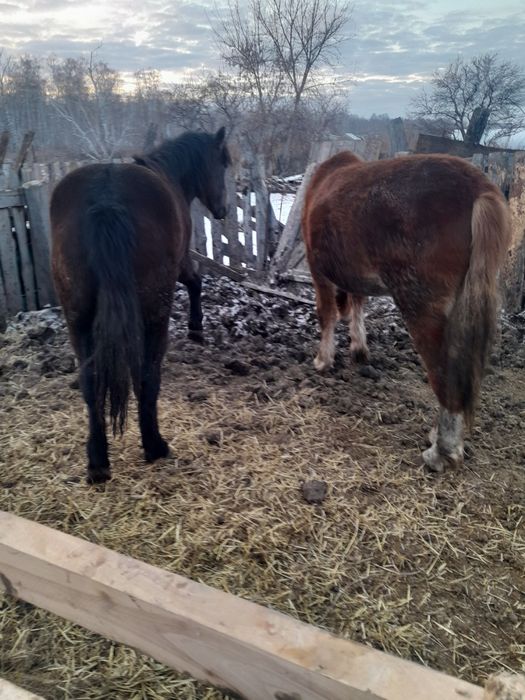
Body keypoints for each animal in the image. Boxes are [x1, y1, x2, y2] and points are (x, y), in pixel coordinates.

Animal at [51, 128, 231, 484]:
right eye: (222, 164)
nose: (223, 209)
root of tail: (106, 196)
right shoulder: (180, 263)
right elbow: (196, 282)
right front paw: (196, 328)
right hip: (154, 314)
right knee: (147, 377)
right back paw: (154, 445)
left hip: (77, 319)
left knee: (90, 383)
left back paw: (97, 460)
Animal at [302, 151, 511, 472]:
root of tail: (479, 188)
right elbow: (358, 305)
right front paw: (358, 349)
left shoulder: (318, 271)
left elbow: (327, 314)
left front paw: (323, 360)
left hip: (422, 308)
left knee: (445, 376)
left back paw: (443, 452)